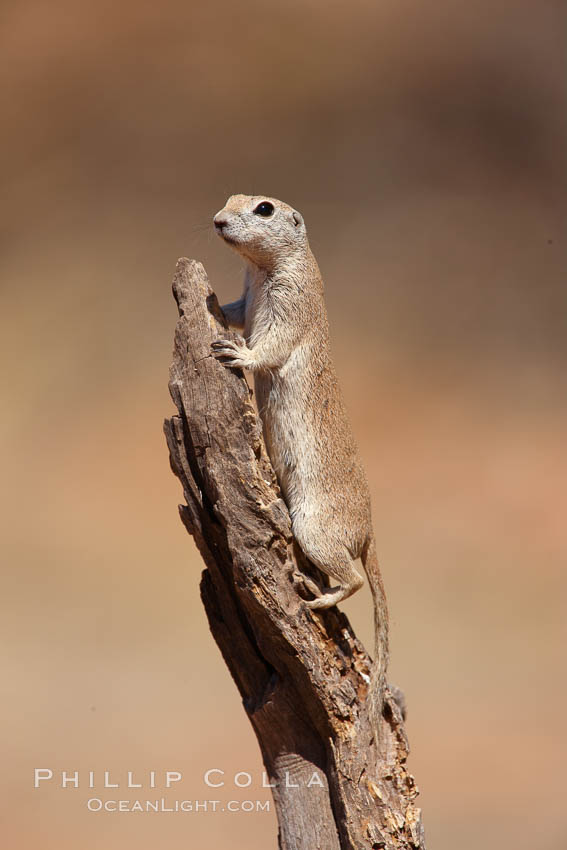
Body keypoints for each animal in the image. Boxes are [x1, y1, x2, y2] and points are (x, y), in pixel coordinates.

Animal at [211, 194, 388, 724]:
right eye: (228, 199)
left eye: (264, 209)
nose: (218, 222)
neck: (263, 269)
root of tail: (368, 531)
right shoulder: (248, 295)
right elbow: (233, 311)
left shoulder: (291, 304)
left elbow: (270, 347)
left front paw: (238, 354)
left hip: (314, 527)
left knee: (353, 578)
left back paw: (318, 596)